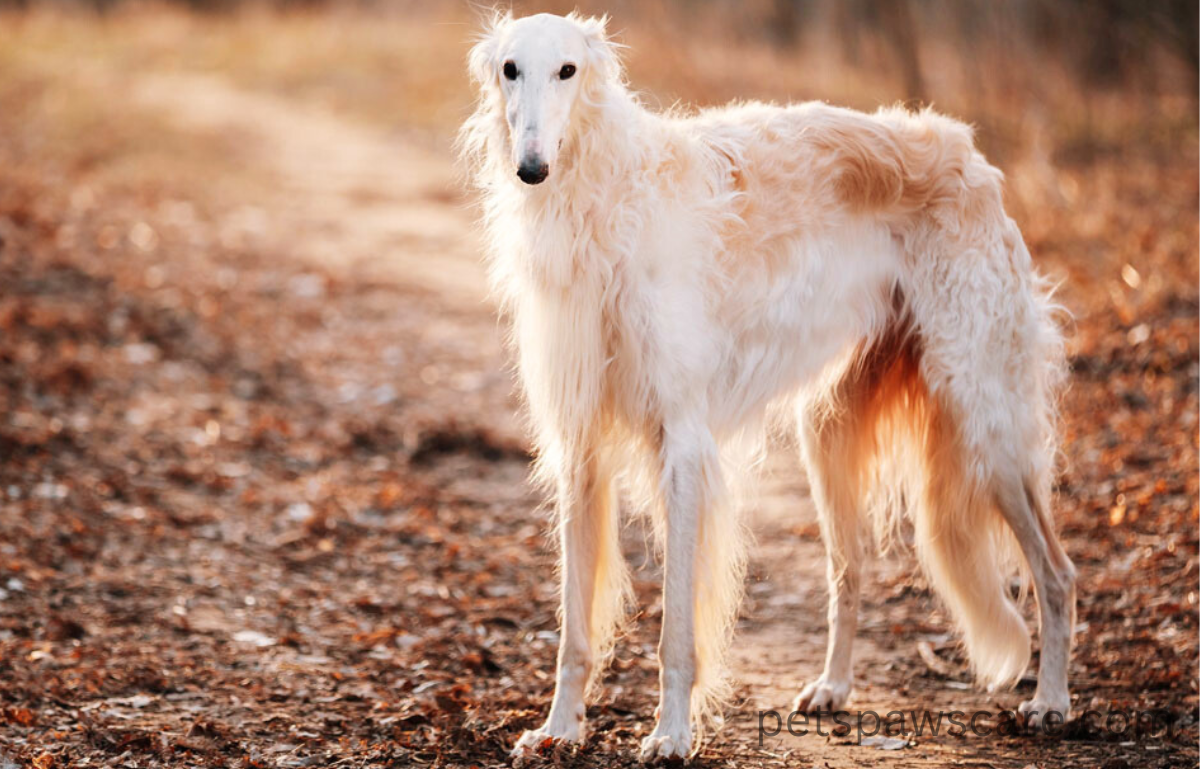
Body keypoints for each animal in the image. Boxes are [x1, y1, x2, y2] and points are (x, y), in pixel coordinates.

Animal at [458, 11, 1080, 763]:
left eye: (568, 70)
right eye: (510, 68)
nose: (532, 169)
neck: (606, 202)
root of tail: (972, 157)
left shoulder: (682, 442)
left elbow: (676, 632)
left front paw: (671, 734)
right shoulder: (579, 445)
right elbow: (574, 629)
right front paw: (559, 728)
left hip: (985, 420)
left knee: (1057, 572)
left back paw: (1051, 701)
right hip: (831, 432)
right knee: (850, 569)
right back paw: (833, 687)